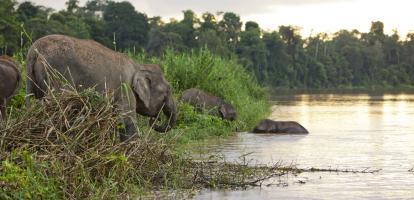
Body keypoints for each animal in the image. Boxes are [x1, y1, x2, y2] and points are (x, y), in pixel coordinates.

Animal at [26, 34, 176, 138]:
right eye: (168, 90)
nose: (155, 119)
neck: (139, 65)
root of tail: (34, 51)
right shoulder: (125, 89)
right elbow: (126, 122)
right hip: (57, 75)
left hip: (32, 80)